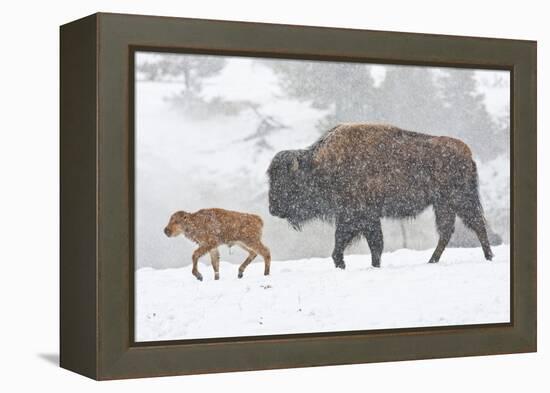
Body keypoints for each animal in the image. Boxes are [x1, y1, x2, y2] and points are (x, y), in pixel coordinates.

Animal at [268, 124, 496, 268]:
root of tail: (467, 153)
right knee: (448, 231)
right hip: (443, 204)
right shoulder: (358, 217)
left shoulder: (358, 216)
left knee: (476, 225)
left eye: (286, 181)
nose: (272, 209)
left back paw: (488, 257)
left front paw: (353, 264)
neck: (321, 165)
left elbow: (367, 244)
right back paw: (433, 261)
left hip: (459, 199)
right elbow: (367, 244)